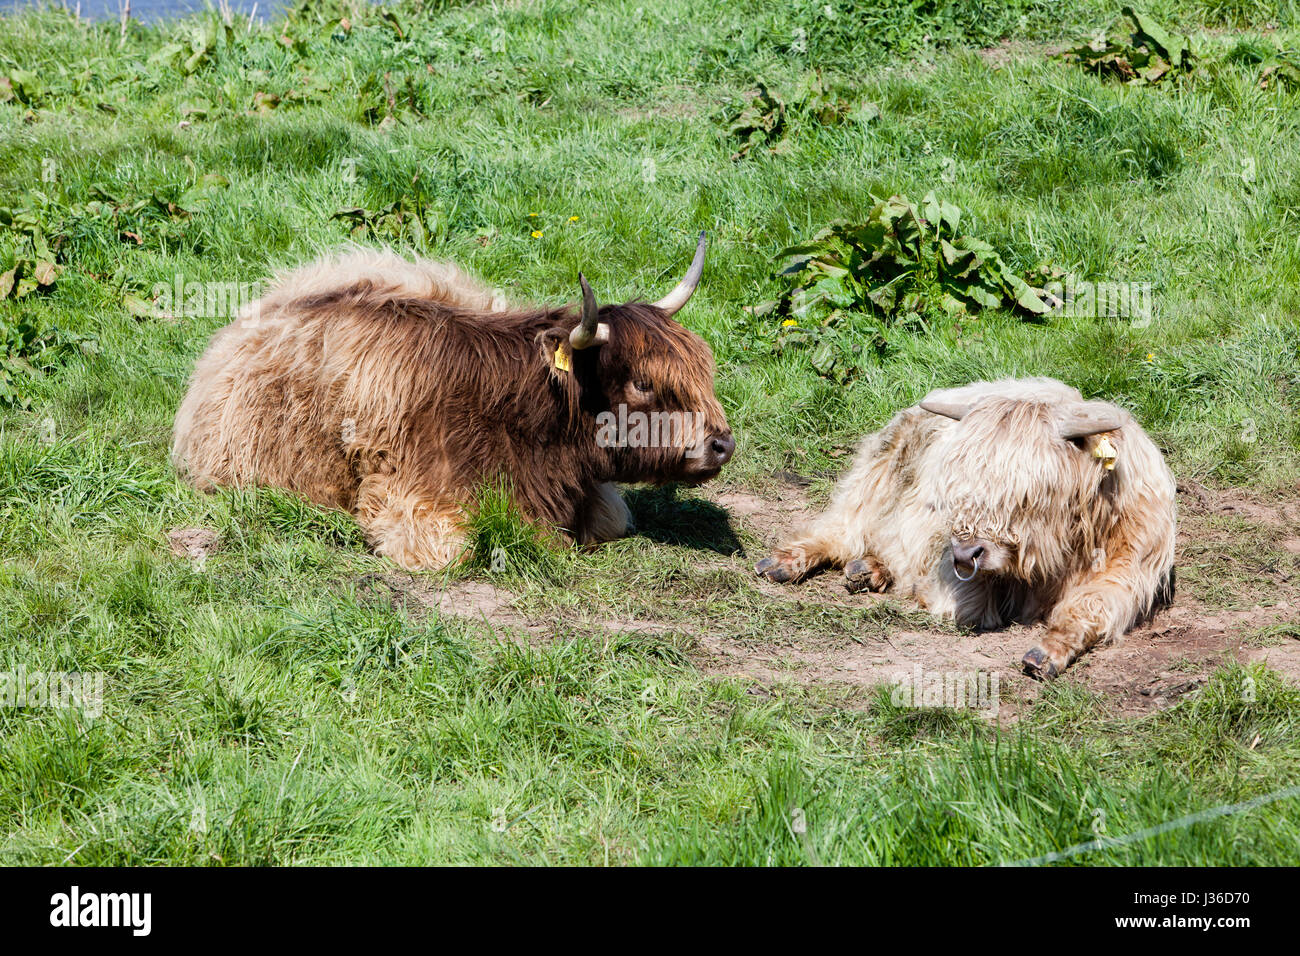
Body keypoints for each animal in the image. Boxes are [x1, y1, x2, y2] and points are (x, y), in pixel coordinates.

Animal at [759, 377, 1175, 676]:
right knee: (842, 528)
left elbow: (1089, 608)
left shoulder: (1129, 571)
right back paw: (784, 563)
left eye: (1025, 496)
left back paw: (868, 569)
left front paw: (1047, 654)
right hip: (877, 474)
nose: (964, 554)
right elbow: (971, 606)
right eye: (955, 485)